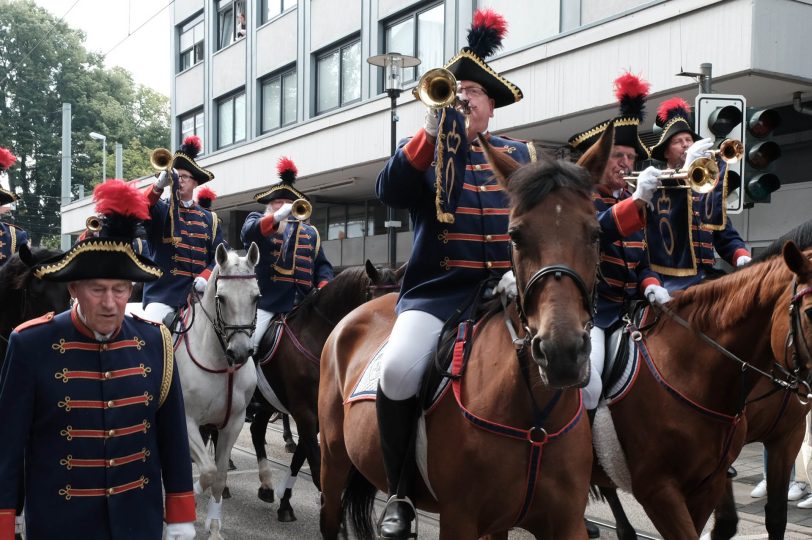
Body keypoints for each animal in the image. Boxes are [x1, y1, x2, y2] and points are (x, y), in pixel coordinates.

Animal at [175, 244, 260, 536]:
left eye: (256, 297)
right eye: (221, 298)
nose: (241, 352)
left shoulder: (233, 422)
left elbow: (219, 475)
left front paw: (213, 527)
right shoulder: (186, 421)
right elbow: (208, 471)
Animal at [320, 125, 612, 540]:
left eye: (595, 232)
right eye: (516, 235)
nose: (562, 354)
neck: (534, 417)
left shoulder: (564, 523)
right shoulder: (459, 518)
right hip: (332, 460)